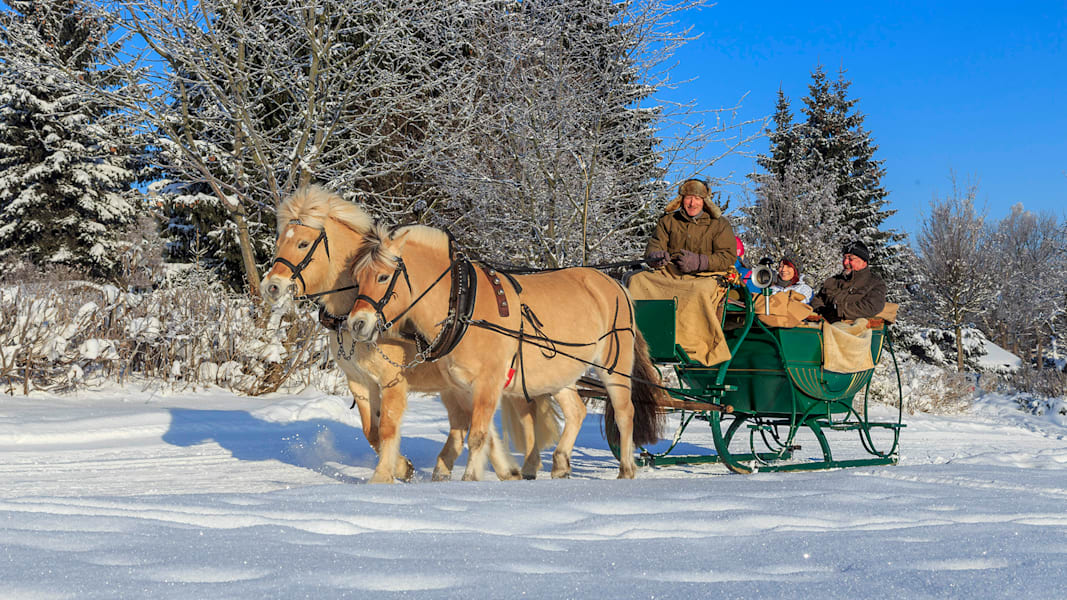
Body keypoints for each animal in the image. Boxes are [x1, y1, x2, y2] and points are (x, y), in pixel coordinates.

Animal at [259, 186, 570, 482]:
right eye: (279, 241)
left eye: (302, 243)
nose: (271, 286)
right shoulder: (359, 381)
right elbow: (370, 430)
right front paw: (403, 467)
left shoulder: (393, 380)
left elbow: (387, 427)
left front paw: (387, 474)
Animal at [346, 224, 666, 480]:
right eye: (358, 277)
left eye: (383, 277)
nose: (356, 323)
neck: (463, 304)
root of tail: (614, 284)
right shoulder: (463, 386)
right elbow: (482, 433)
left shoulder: (488, 382)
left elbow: (477, 436)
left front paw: (470, 479)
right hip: (559, 372)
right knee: (577, 411)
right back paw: (560, 465)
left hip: (614, 366)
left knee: (625, 413)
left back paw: (626, 469)